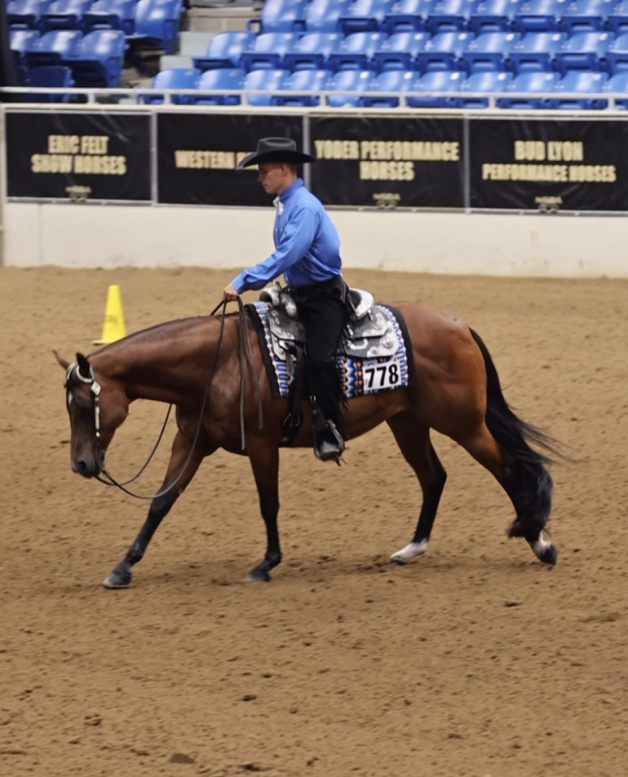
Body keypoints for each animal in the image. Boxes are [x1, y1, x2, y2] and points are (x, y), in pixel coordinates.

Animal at [54, 295, 559, 589]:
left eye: (81, 404)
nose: (81, 465)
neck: (218, 363)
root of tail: (460, 326)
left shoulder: (261, 444)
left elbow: (269, 504)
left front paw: (266, 563)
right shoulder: (190, 440)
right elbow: (162, 500)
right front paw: (124, 567)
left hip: (464, 423)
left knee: (509, 469)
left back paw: (540, 543)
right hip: (409, 422)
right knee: (434, 477)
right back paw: (412, 548)